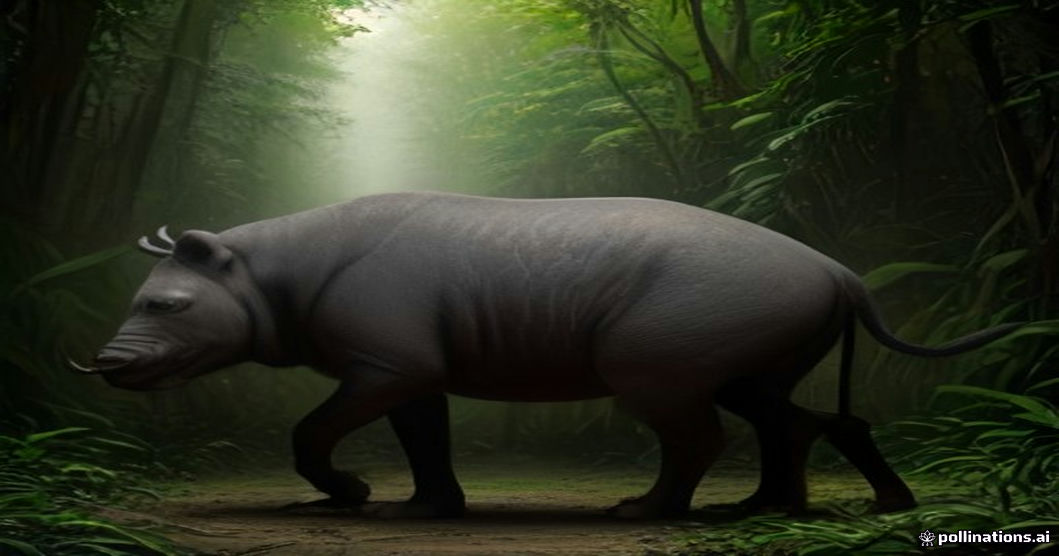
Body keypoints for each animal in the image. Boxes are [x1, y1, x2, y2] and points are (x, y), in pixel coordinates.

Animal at [69, 192, 1022, 519]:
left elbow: (316, 429)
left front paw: (355, 496)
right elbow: (424, 434)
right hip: (773, 311)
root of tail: (842, 270)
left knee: (682, 409)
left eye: (163, 306)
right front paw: (425, 509)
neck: (259, 267)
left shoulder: (384, 362)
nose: (107, 365)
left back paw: (644, 513)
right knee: (767, 403)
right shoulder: (407, 365)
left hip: (694, 314)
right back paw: (773, 512)